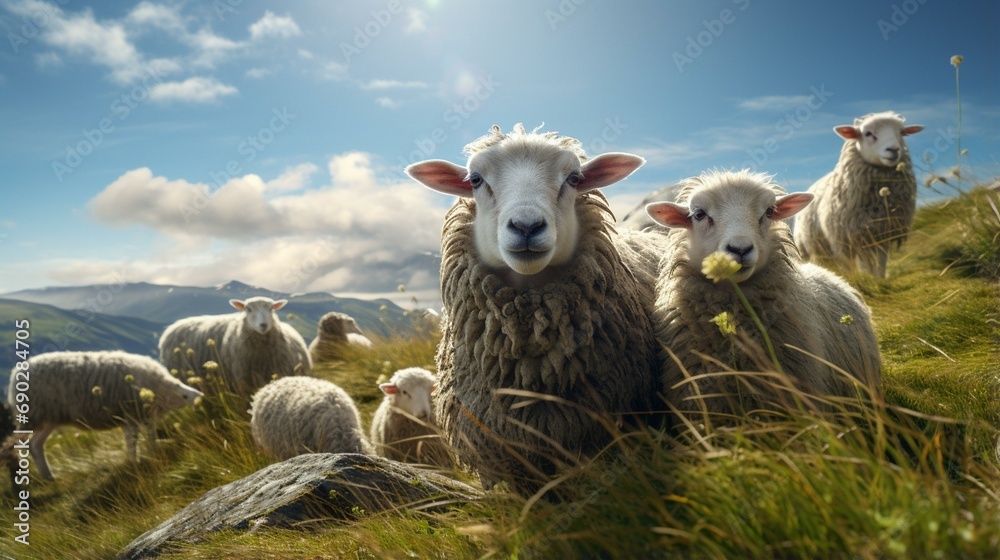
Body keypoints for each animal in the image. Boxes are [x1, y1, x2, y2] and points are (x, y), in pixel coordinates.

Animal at [6, 351, 202, 481]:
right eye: (187, 397)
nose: (202, 400)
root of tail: (15, 375)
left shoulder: (138, 416)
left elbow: (148, 436)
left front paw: (150, 452)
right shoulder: (131, 413)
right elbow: (134, 440)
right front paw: (136, 461)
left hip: (50, 418)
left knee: (35, 444)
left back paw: (49, 476)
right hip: (33, 415)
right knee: (20, 444)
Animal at [794, 111, 924, 278]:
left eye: (901, 132)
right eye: (868, 133)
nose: (894, 149)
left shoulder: (881, 233)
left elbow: (880, 262)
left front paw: (878, 279)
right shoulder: (846, 238)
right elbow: (854, 265)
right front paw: (857, 278)